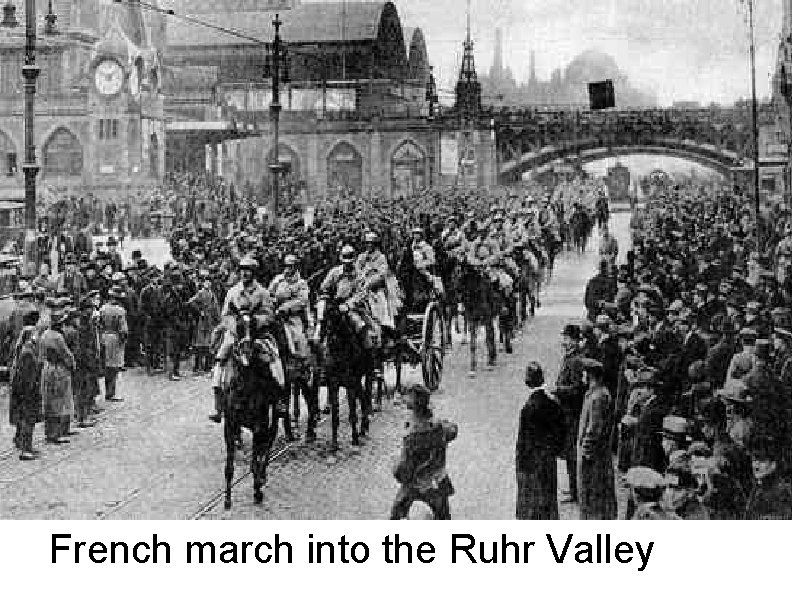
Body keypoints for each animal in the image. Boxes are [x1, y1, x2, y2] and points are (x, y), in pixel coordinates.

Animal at [221, 312, 284, 512]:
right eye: (239, 326)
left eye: (254, 325)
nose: (246, 349)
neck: (245, 388)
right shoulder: (230, 426)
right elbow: (229, 467)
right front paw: (227, 500)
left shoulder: (258, 425)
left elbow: (255, 463)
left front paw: (257, 492)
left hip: (275, 412)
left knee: (269, 440)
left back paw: (262, 476)